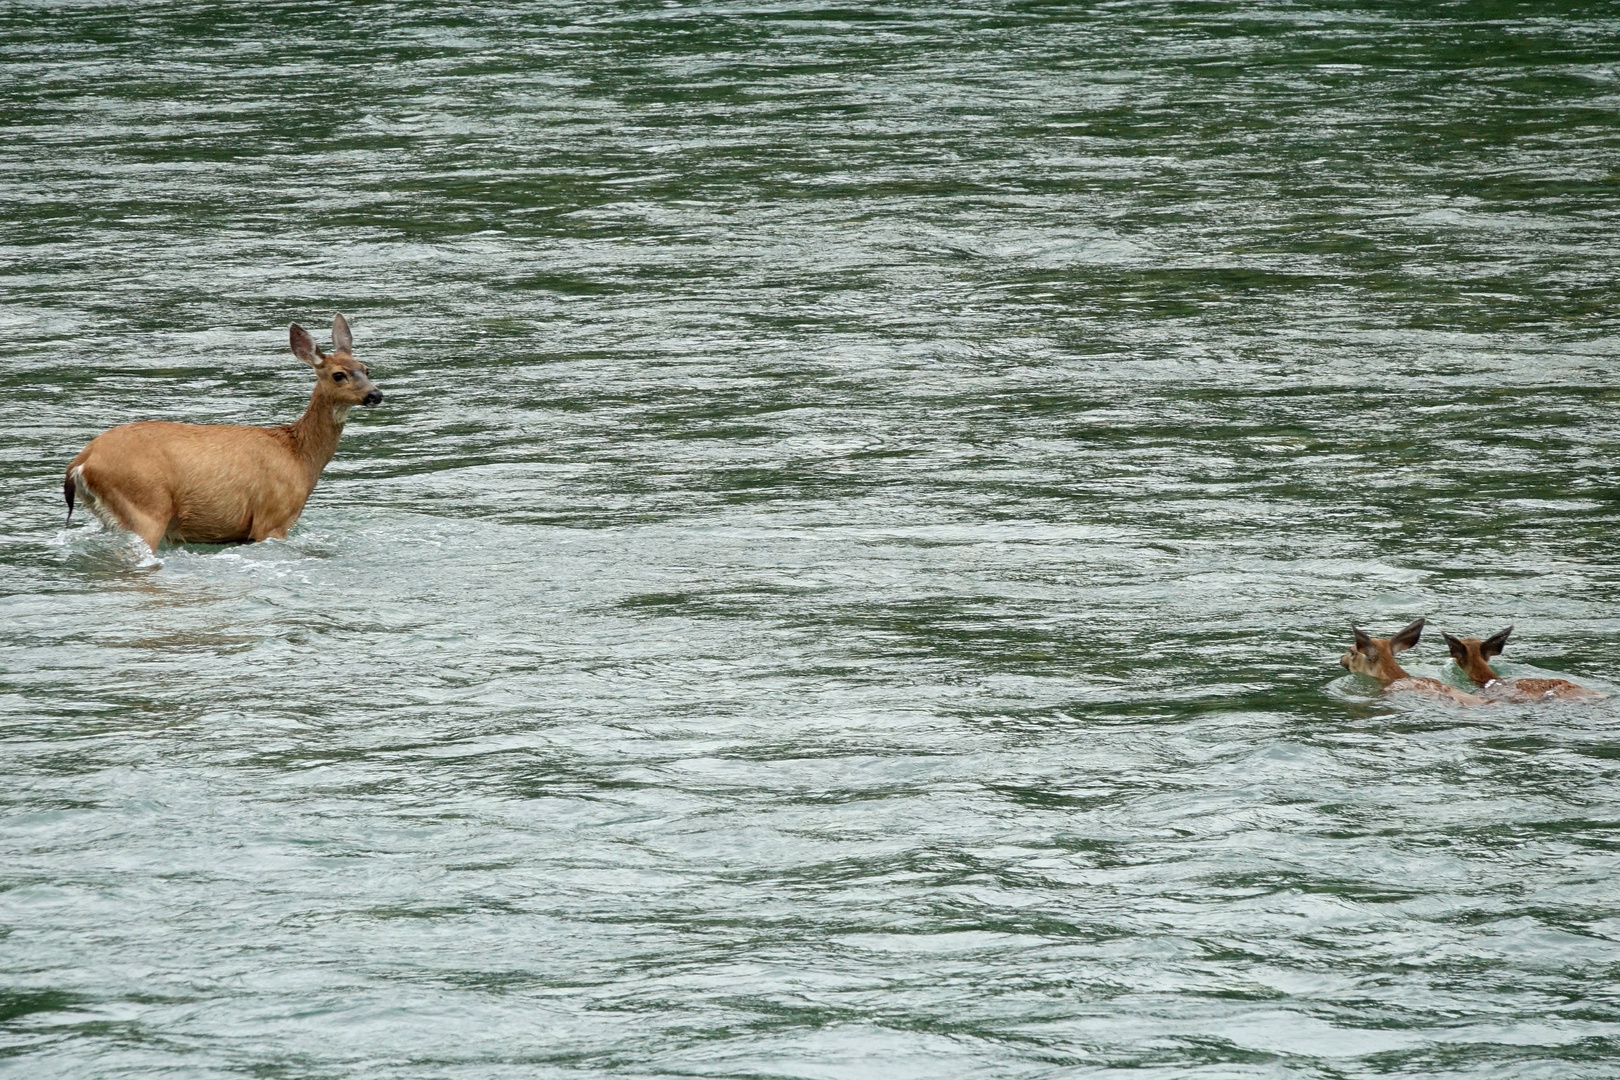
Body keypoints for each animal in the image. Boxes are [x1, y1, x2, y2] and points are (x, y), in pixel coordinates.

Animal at [61, 310, 383, 550]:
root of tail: (82, 461)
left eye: (366, 368)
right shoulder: (272, 519)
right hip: (147, 505)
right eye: (338, 375)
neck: (299, 457)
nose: (376, 395)